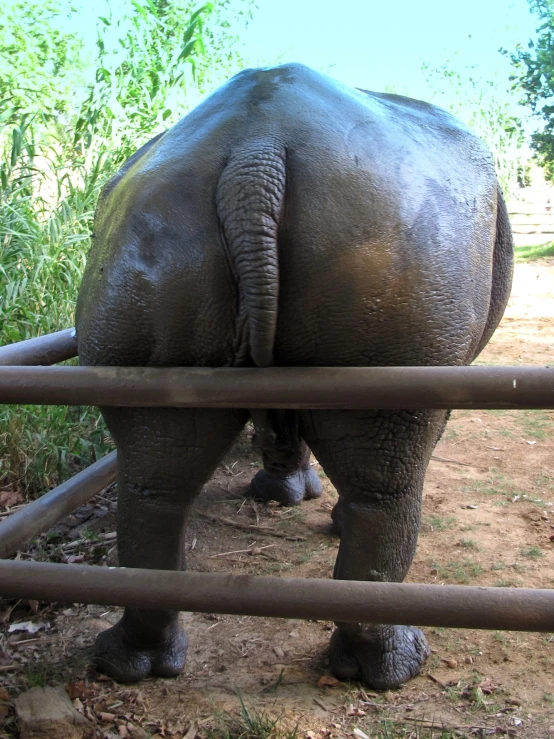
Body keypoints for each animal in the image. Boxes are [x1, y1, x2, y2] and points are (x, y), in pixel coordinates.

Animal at [75, 62, 512, 688]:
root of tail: (255, 152)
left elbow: (280, 419)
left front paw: (281, 496)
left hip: (144, 235)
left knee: (154, 473)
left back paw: (131, 663)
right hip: (395, 240)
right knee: (388, 480)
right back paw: (390, 668)